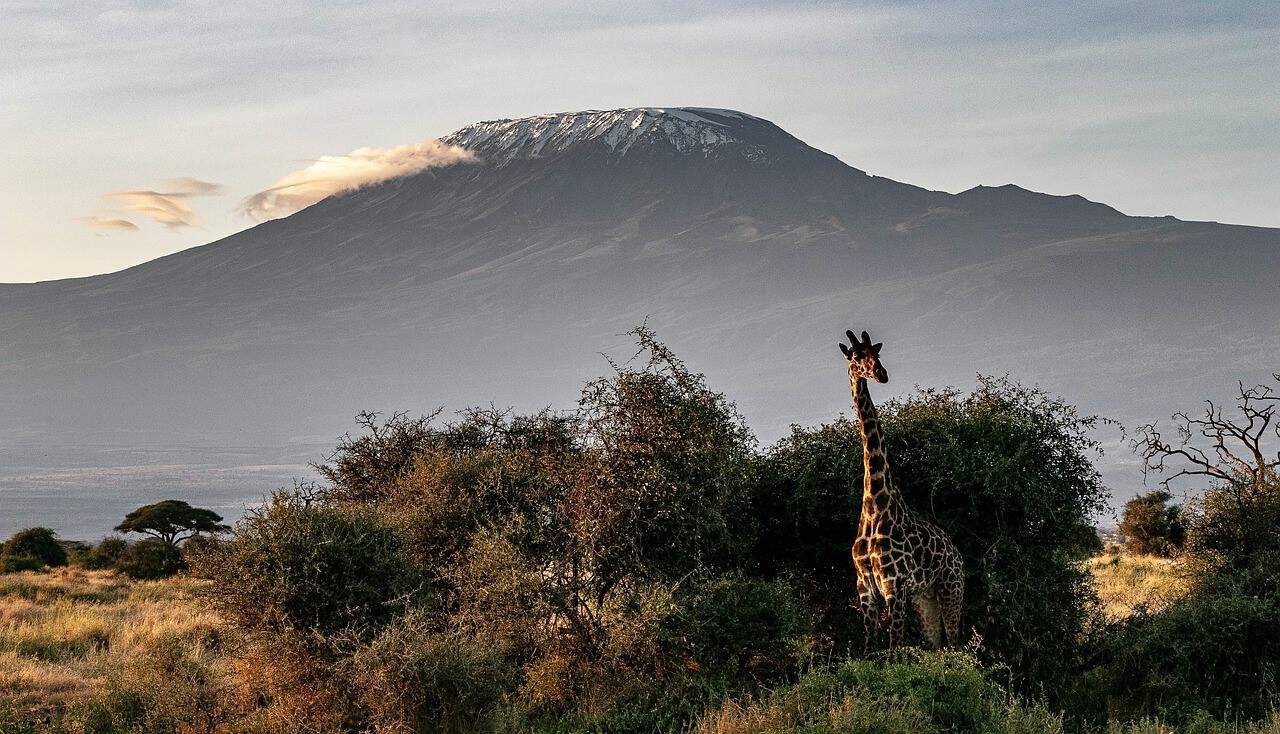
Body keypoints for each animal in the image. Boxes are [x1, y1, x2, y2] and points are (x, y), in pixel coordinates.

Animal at [834, 327, 962, 650]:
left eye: (876, 354)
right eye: (856, 356)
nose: (882, 374)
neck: (874, 504)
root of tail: (957, 553)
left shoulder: (894, 583)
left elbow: (895, 647)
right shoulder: (865, 586)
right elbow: (870, 647)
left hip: (951, 588)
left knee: (957, 644)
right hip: (924, 599)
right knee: (937, 645)